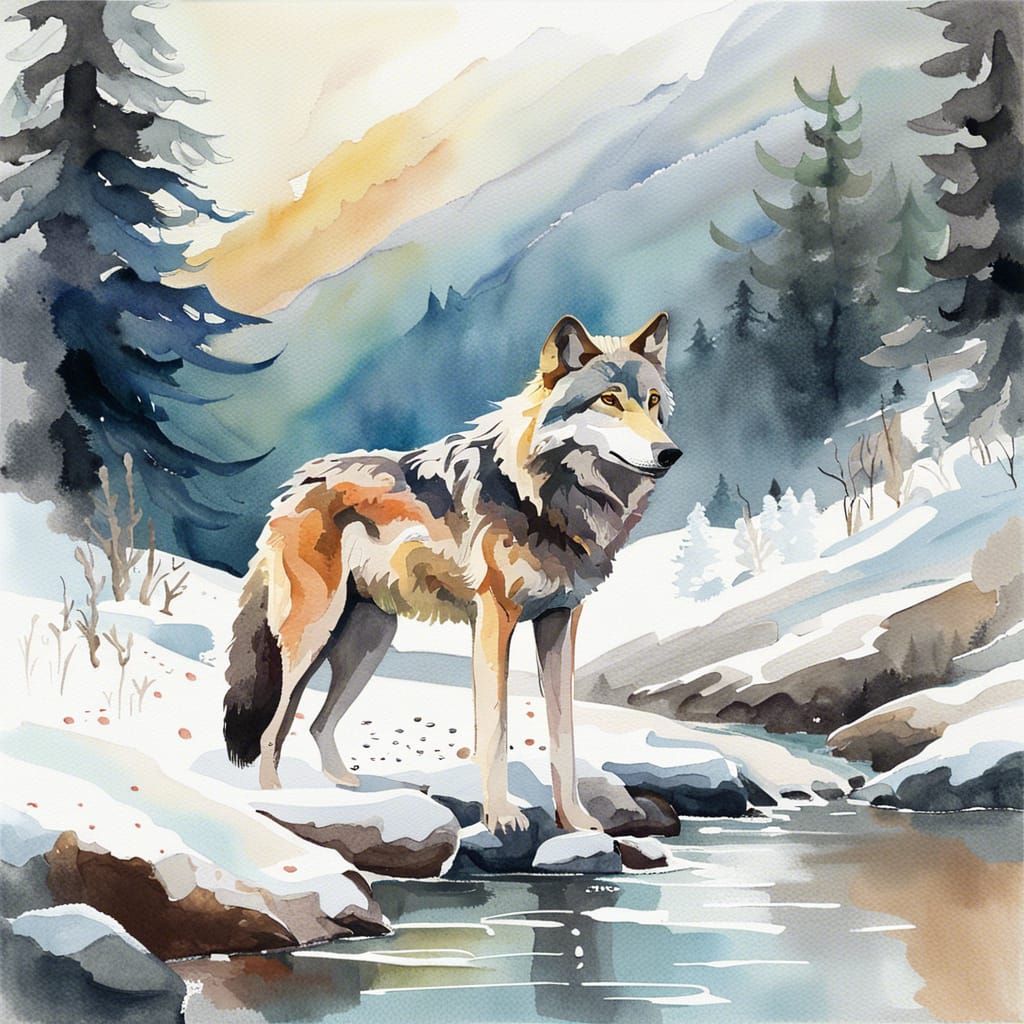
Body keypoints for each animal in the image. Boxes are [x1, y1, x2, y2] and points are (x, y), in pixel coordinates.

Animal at [223, 312, 680, 832]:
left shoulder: (561, 621)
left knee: (316, 724)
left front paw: (577, 821)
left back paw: (342, 792)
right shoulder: (495, 618)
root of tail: (293, 487)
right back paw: (282, 801)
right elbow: (496, 731)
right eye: (609, 400)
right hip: (311, 639)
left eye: (652, 402)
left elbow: (563, 735)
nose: (670, 453)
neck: (547, 500)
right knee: (272, 728)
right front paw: (501, 816)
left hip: (366, 644)